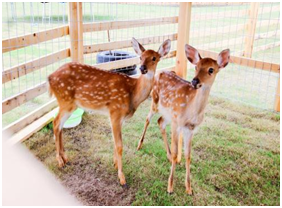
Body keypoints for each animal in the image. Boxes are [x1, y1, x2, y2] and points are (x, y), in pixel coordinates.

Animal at [47, 38, 171, 188]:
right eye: (140, 57)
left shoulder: (119, 117)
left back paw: (65, 158)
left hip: (68, 104)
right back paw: (60, 161)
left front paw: (115, 163)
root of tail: (49, 77)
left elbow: (114, 142)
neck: (132, 93)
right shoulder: (115, 112)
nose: (142, 68)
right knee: (56, 123)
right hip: (66, 101)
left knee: (59, 125)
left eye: (154, 58)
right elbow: (119, 145)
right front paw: (122, 177)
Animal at [137, 44, 231, 194]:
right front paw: (170, 187)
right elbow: (177, 153)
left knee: (160, 122)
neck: (192, 111)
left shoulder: (190, 128)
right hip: (155, 101)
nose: (195, 81)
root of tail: (159, 72)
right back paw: (139, 145)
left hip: (169, 114)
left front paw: (189, 188)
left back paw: (168, 156)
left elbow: (188, 155)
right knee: (148, 119)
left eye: (211, 69)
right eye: (196, 67)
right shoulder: (178, 124)